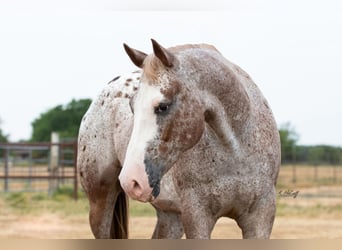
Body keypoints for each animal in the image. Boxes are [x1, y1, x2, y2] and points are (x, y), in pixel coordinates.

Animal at [78, 39, 280, 238]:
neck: (235, 152)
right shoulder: (197, 217)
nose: (132, 181)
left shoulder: (260, 218)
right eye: (132, 105)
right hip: (100, 202)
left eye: (163, 106)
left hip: (170, 216)